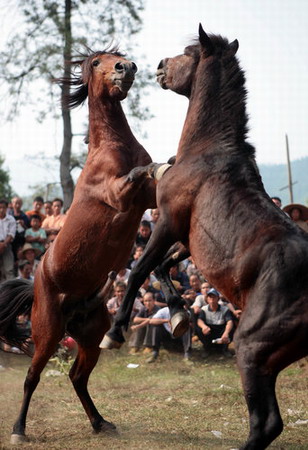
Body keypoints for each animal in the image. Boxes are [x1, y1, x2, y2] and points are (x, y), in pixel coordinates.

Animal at [0, 48, 156, 442]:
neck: (114, 146)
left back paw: (101, 422)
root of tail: (36, 286)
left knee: (77, 377)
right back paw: (19, 430)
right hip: (47, 333)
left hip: (90, 334)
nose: (126, 67)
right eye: (99, 61)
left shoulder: (148, 199)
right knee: (32, 377)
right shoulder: (119, 194)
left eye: (119, 57)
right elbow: (139, 174)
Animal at [103, 26, 308, 448]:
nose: (158, 65)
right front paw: (181, 315)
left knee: (266, 423)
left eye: (188, 51)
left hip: (252, 349)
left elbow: (139, 270)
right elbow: (162, 268)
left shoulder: (166, 222)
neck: (207, 151)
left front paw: (114, 333)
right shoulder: (188, 238)